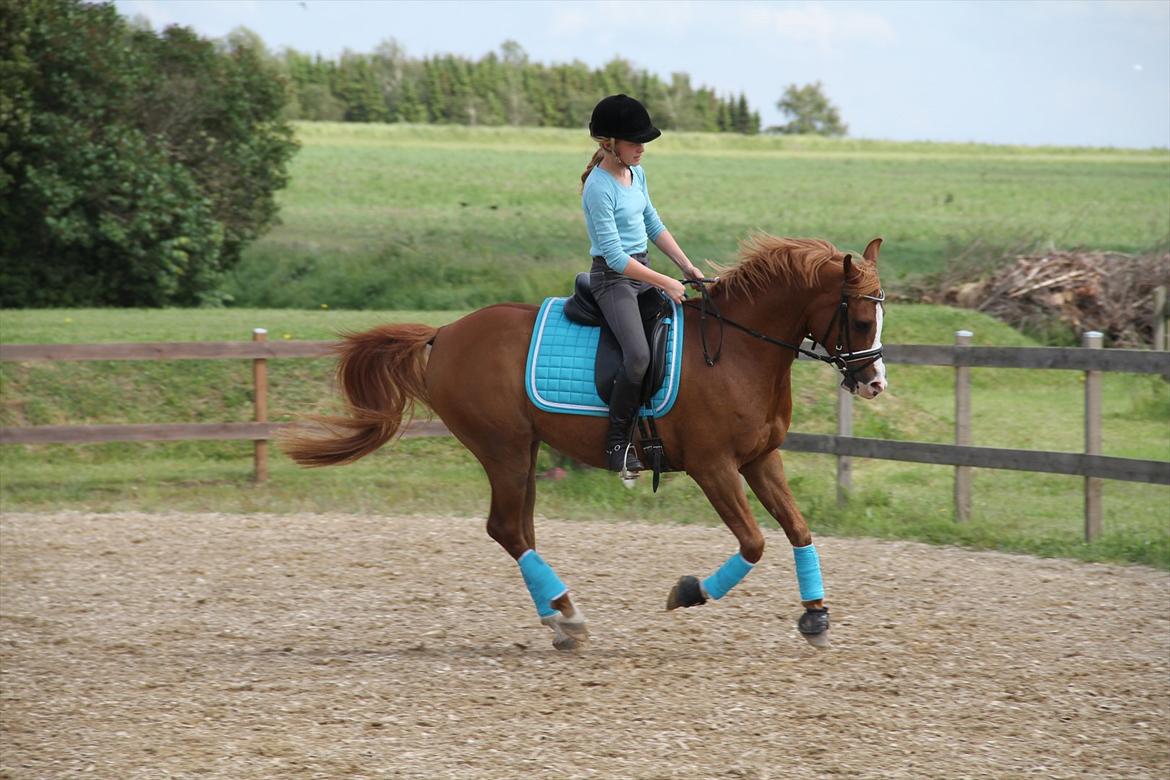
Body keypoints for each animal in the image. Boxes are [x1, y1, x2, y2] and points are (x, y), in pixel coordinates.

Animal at [283, 235, 887, 651]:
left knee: (520, 530)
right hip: (502, 449)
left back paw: (559, 618)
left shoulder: (761, 458)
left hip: (523, 452)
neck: (737, 350)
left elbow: (798, 528)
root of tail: (445, 333)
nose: (874, 383)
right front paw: (688, 591)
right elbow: (755, 543)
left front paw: (816, 616)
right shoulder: (713, 466)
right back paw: (567, 616)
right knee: (507, 529)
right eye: (860, 320)